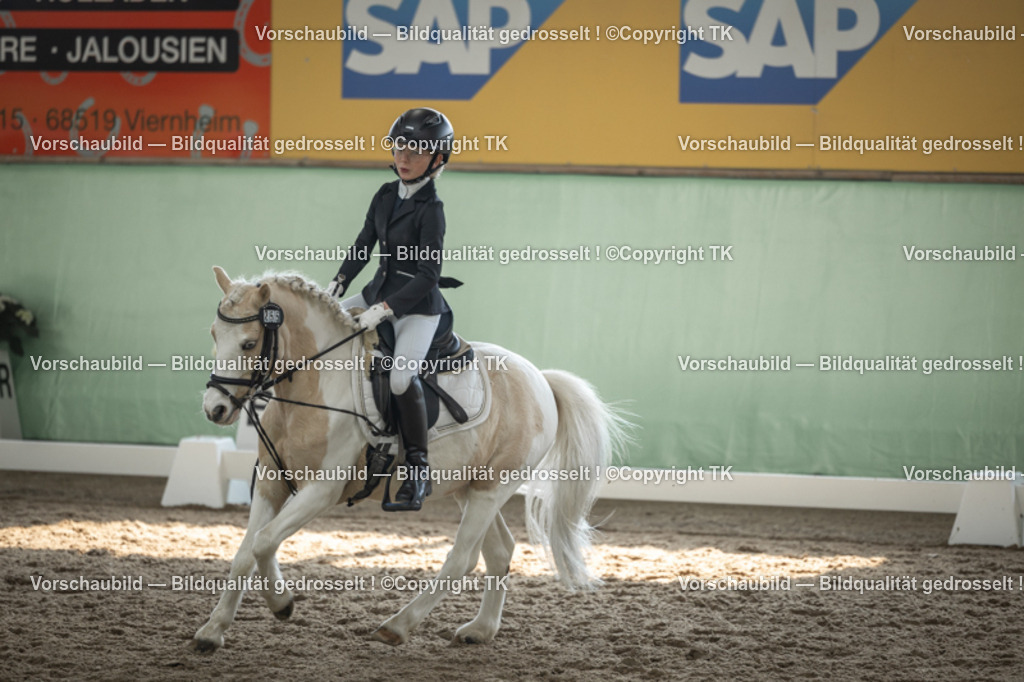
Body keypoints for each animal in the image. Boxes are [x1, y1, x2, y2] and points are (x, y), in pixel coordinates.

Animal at [192, 266, 631, 651]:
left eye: (249, 343)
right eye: (213, 334)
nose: (215, 408)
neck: (317, 386)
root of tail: (540, 378)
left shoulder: (322, 490)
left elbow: (264, 542)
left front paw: (281, 603)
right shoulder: (271, 483)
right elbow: (245, 553)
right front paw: (213, 631)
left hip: (494, 488)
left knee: (462, 558)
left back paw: (398, 626)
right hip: (469, 487)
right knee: (500, 551)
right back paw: (480, 630)